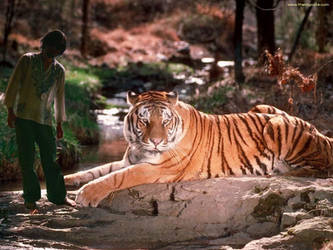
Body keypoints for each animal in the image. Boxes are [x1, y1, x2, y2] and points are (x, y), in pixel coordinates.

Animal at [65, 90, 332, 207]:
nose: (156, 142)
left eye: (165, 121)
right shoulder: (127, 159)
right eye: (144, 121)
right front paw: (68, 178)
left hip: (277, 125)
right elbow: (97, 170)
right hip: (264, 108)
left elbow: (116, 177)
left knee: (320, 168)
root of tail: (320, 132)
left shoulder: (156, 169)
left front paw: (85, 195)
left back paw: (277, 171)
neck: (141, 148)